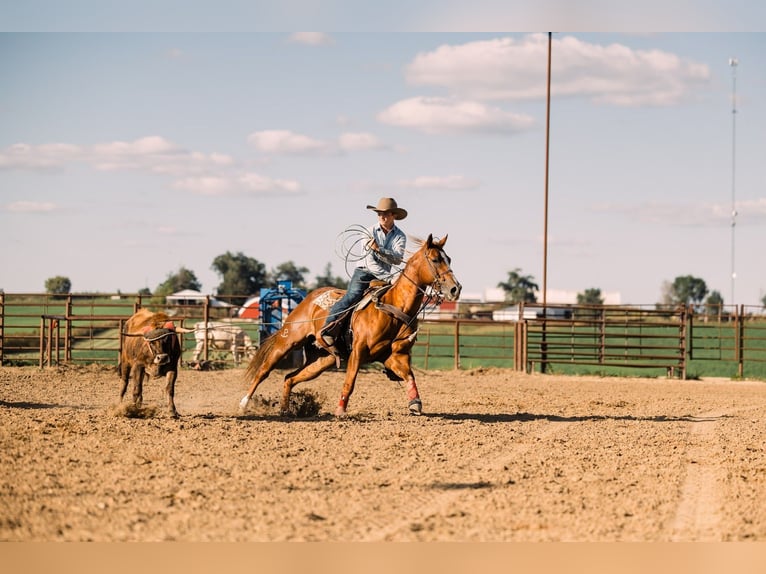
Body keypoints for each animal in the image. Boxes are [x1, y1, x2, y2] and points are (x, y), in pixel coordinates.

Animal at [239, 234, 461, 417]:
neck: (393, 307)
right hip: (288, 341)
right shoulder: (358, 352)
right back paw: (244, 404)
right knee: (264, 371)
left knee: (290, 378)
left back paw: (286, 410)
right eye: (435, 259)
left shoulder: (395, 356)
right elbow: (350, 381)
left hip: (322, 359)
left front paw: (415, 403)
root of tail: (309, 298)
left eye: (449, 259)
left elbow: (409, 376)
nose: (455, 288)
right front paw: (340, 411)